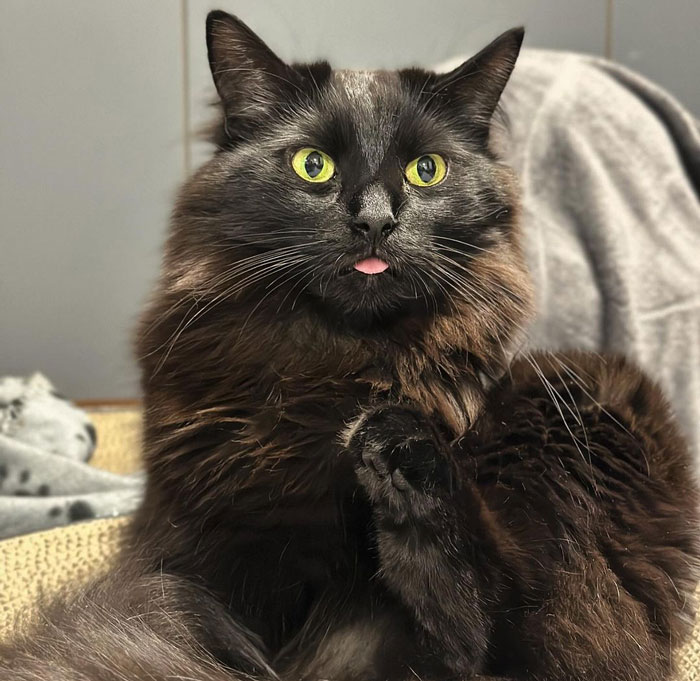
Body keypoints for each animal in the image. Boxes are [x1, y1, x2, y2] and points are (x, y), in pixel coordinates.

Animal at [2, 10, 696, 680]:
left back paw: (396, 446)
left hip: (582, 387)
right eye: (313, 165)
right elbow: (204, 627)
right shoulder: (201, 548)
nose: (375, 221)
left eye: (426, 170)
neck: (342, 363)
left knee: (515, 632)